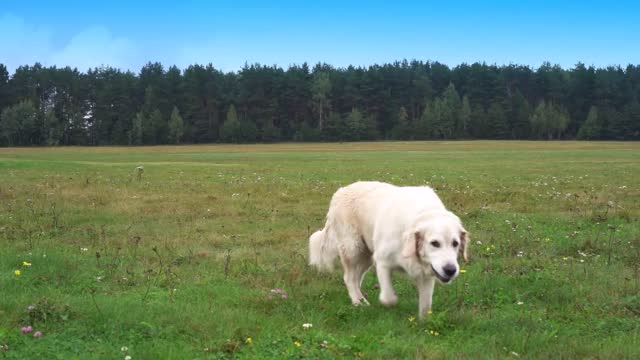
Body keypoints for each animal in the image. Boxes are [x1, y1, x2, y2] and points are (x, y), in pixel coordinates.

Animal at [308, 181, 468, 320]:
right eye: (435, 243)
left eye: (455, 243)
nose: (450, 270)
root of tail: (340, 191)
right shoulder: (383, 262)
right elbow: (389, 298)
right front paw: (389, 304)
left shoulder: (426, 275)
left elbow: (426, 305)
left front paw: (424, 323)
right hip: (353, 249)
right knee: (349, 278)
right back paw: (357, 302)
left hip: (365, 256)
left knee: (356, 278)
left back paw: (361, 299)